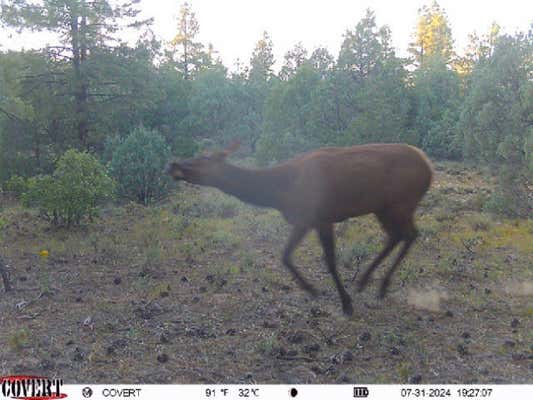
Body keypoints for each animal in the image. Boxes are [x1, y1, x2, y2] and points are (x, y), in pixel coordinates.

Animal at [166, 143, 432, 316]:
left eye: (202, 159)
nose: (173, 164)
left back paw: (379, 284)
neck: (279, 192)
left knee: (408, 234)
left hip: (400, 203)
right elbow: (285, 256)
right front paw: (311, 289)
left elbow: (329, 261)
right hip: (385, 208)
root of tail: (429, 168)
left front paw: (345, 303)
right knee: (399, 235)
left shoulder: (320, 217)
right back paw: (367, 280)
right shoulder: (303, 220)